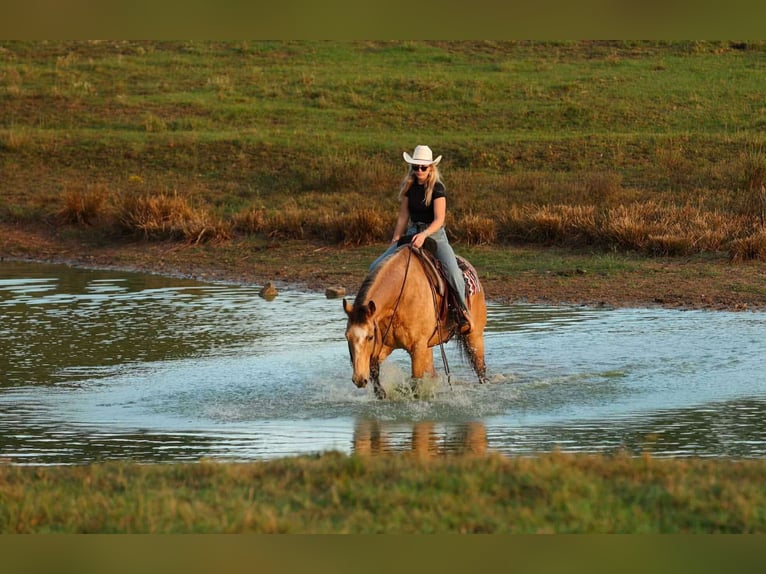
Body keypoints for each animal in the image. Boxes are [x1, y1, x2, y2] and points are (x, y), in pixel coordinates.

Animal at [342, 241, 487, 399]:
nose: (359, 379)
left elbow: (416, 384)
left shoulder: (417, 348)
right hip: (428, 348)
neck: (401, 296)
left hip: (474, 337)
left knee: (481, 371)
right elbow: (375, 372)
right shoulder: (386, 346)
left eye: (370, 337)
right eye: (347, 337)